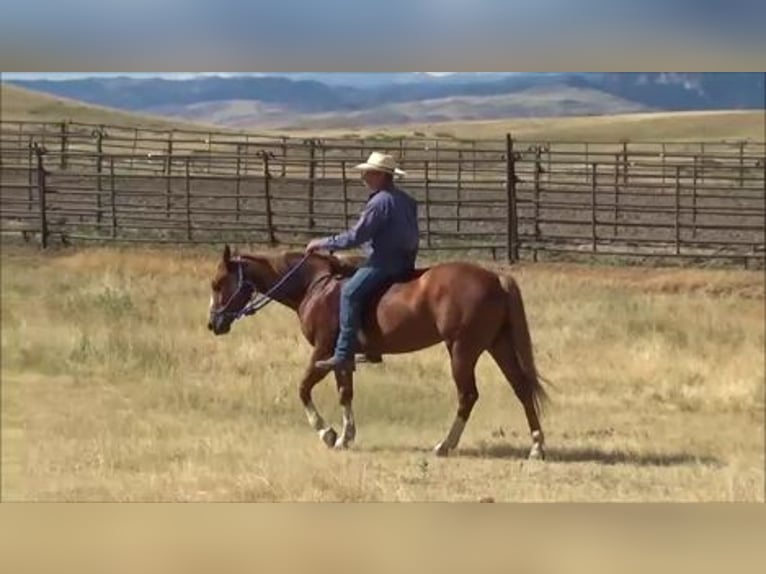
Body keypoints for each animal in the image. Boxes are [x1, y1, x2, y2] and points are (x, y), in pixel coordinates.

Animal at [207, 245, 548, 462]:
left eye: (219, 283)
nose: (213, 323)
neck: (316, 286)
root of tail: (495, 278)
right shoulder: (341, 357)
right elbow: (345, 393)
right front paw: (346, 436)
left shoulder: (323, 350)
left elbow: (303, 388)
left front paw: (326, 432)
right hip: (498, 344)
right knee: (521, 388)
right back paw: (536, 446)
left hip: (462, 350)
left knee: (468, 395)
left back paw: (444, 445)